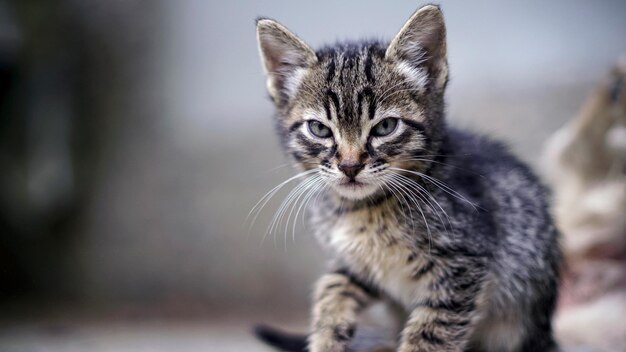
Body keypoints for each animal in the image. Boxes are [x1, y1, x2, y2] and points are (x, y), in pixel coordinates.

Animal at [254, 3, 560, 352]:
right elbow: (331, 287)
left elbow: (431, 334)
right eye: (319, 129)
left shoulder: (463, 266)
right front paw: (326, 336)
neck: (364, 209)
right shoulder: (356, 266)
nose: (349, 165)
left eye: (385, 127)